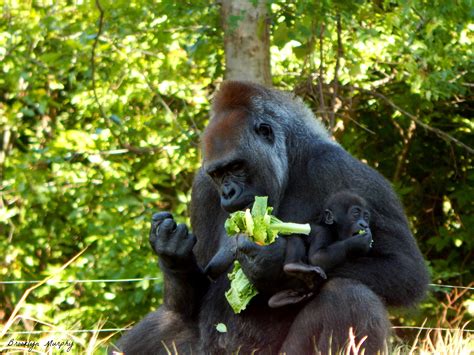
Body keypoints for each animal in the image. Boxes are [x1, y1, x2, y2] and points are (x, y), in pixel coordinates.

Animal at [115, 82, 430, 354]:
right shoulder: (203, 188)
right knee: (170, 319)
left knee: (349, 294)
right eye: (218, 174)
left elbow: (403, 268)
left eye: (237, 167)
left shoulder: (345, 171)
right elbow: (195, 296)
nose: (228, 193)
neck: (290, 161)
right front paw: (173, 254)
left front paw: (273, 267)